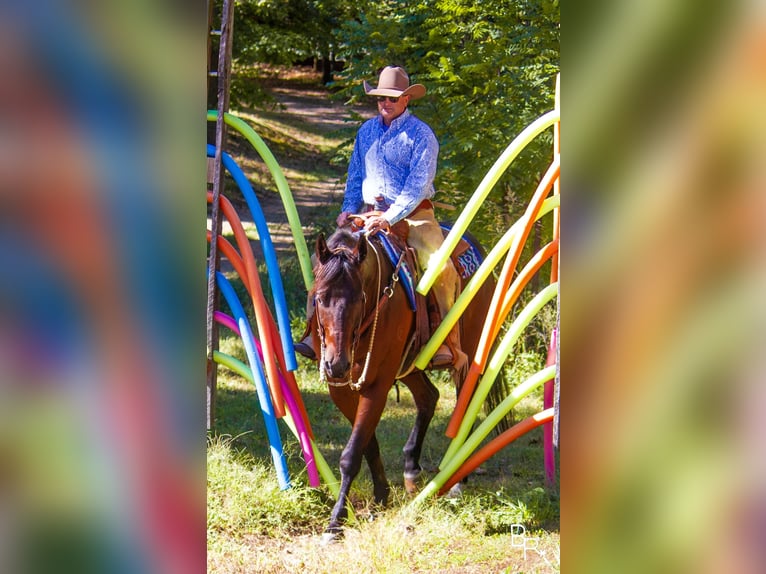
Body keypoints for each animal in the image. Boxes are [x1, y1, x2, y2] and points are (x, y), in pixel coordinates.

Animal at [312, 226, 498, 544]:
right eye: (320, 298)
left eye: (360, 299)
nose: (336, 364)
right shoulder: (340, 389)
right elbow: (368, 443)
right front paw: (381, 497)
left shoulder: (377, 384)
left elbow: (351, 454)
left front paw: (336, 521)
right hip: (409, 364)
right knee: (428, 396)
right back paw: (411, 469)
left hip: (470, 353)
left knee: (464, 407)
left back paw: (458, 482)